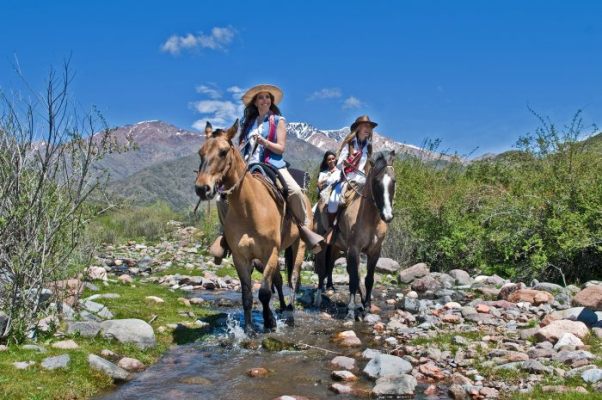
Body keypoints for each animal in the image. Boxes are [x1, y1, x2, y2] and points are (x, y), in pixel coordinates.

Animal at [193, 120, 308, 332]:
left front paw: (269, 323)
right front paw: (249, 329)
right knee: (279, 280)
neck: (249, 209)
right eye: (200, 152)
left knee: (294, 279)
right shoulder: (241, 258)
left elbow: (264, 292)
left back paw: (290, 313)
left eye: (223, 152)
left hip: (299, 245)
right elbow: (247, 295)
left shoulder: (270, 252)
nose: (202, 188)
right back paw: (282, 308)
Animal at [312, 152, 396, 320]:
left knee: (332, 266)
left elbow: (368, 279)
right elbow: (353, 279)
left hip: (336, 248)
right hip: (324, 245)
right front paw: (351, 310)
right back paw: (318, 298)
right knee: (322, 269)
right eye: (376, 182)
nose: (387, 215)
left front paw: (367, 306)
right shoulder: (354, 249)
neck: (370, 218)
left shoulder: (374, 251)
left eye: (393, 181)